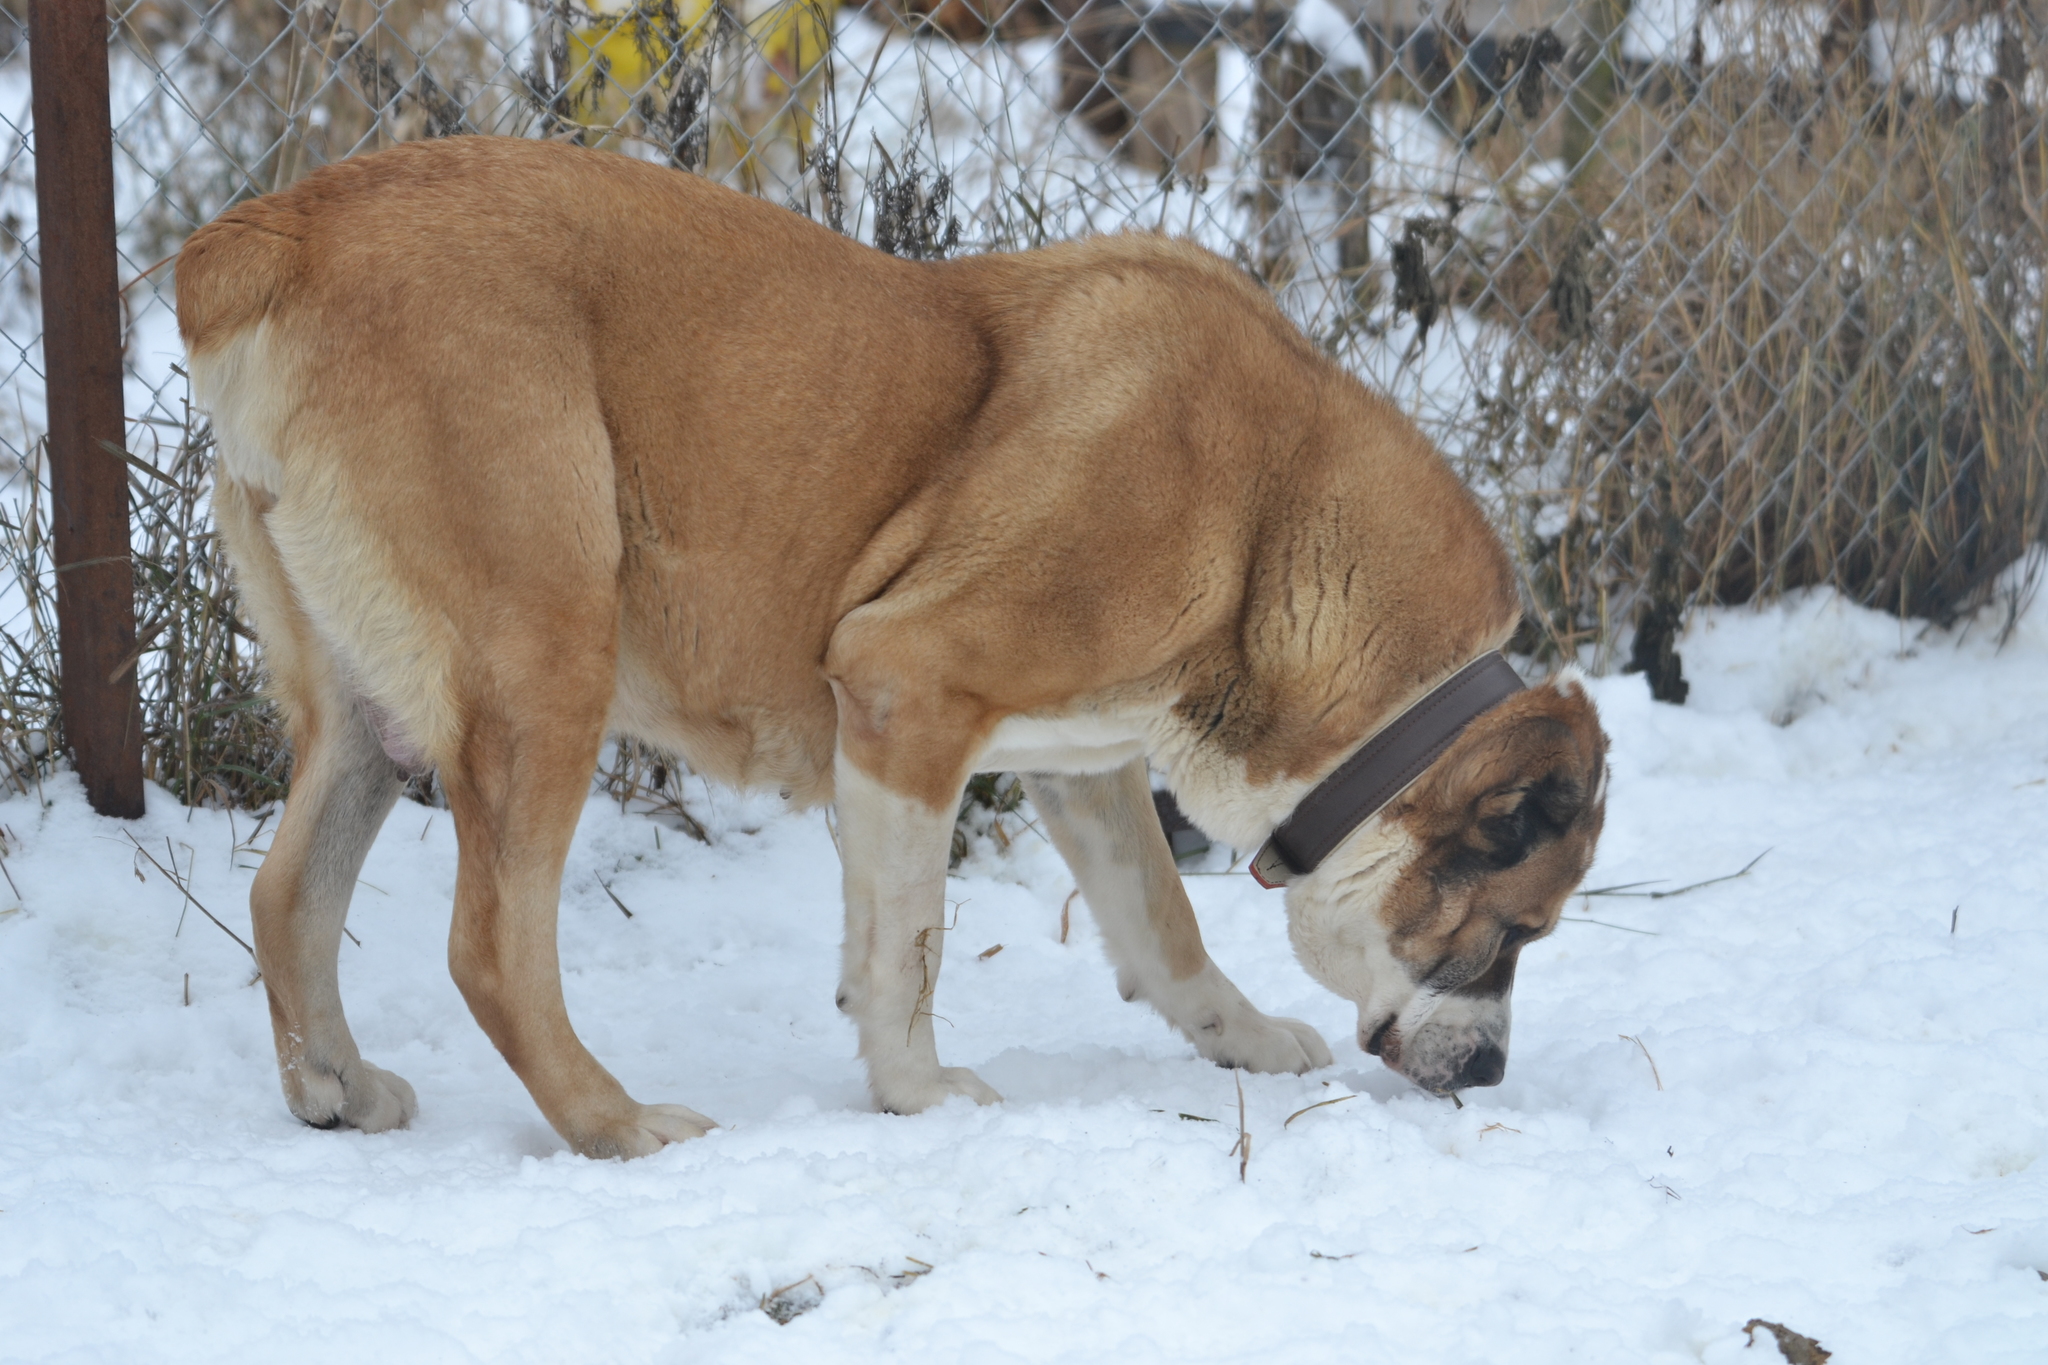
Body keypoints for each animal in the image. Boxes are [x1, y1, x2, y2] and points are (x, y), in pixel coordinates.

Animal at [176, 139, 1605, 1162]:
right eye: (1515, 932)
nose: (1488, 1072)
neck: (1269, 517)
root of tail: (279, 228)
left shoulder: (1083, 763)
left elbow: (1163, 925)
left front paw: (1238, 1038)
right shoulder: (905, 692)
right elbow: (906, 944)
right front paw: (919, 1094)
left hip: (367, 707)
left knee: (286, 895)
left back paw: (335, 1090)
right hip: (543, 663)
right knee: (490, 948)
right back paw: (618, 1126)